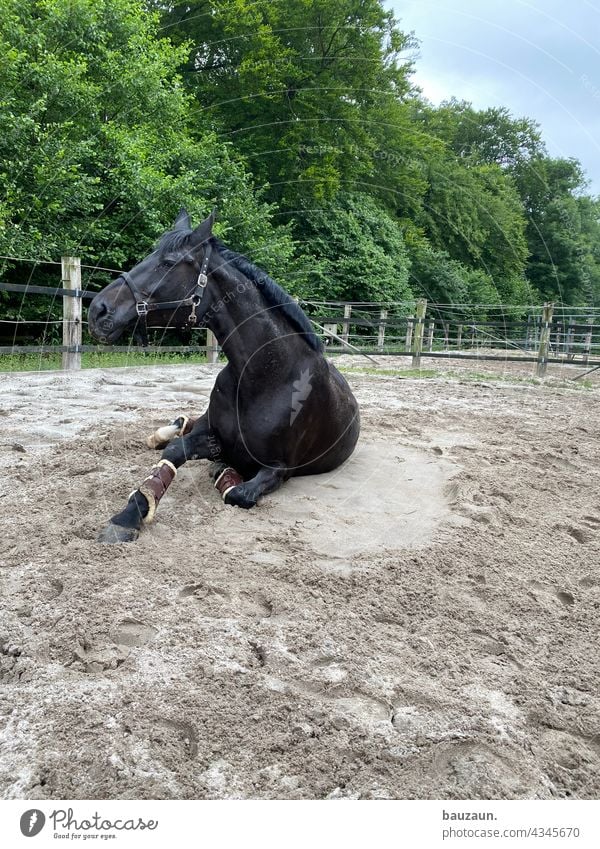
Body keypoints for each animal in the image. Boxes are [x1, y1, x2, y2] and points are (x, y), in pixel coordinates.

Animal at [88, 210, 360, 544]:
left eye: (168, 262)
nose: (98, 310)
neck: (268, 376)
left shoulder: (278, 469)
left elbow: (236, 493)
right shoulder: (211, 433)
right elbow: (175, 451)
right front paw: (127, 517)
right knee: (185, 422)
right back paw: (162, 433)